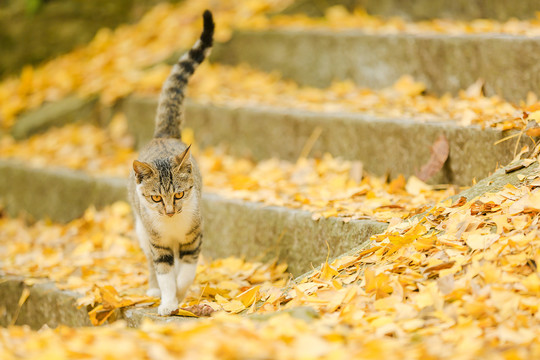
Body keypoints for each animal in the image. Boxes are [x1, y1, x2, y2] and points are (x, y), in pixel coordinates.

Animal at [129, 9, 215, 316]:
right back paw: (154, 288)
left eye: (179, 194)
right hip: (141, 230)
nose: (168, 212)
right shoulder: (157, 242)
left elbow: (186, 272)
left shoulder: (194, 236)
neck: (173, 227)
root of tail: (163, 134)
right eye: (156, 198)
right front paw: (167, 301)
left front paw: (180, 293)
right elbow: (164, 271)